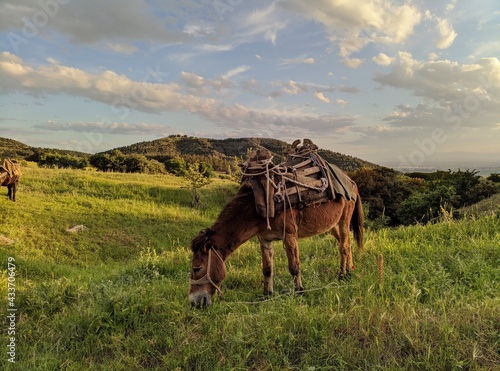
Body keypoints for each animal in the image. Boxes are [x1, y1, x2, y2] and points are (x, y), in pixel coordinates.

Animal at [188, 177, 364, 308]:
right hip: (332, 226)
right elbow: (267, 269)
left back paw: (342, 275)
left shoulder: (290, 236)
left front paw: (299, 292)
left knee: (343, 246)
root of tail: (351, 182)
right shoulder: (264, 239)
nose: (193, 303)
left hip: (344, 220)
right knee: (346, 244)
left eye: (197, 268)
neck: (258, 205)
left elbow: (294, 267)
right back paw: (350, 269)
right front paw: (267, 295)